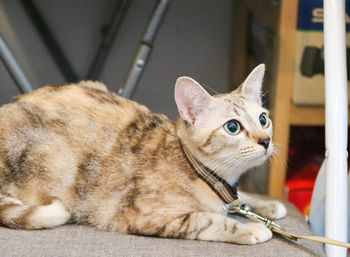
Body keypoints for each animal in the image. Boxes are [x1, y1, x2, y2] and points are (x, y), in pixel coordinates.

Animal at [0, 64, 286, 244]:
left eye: (263, 119)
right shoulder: (146, 215)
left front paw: (266, 205)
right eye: (233, 127)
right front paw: (252, 227)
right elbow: (208, 220)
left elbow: (240, 200)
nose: (265, 140)